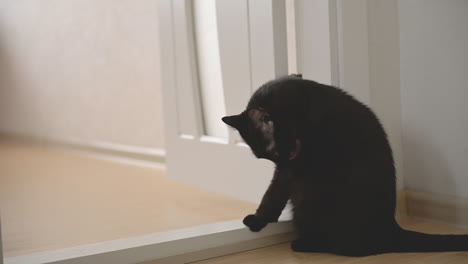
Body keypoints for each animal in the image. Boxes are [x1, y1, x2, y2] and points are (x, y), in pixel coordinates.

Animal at [222, 75, 468, 256]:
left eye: (273, 153)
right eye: (267, 157)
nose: (282, 160)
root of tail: (391, 229)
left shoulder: (292, 170)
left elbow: (273, 192)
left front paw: (258, 219)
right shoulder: (286, 170)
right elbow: (274, 192)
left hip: (311, 194)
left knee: (352, 248)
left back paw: (304, 244)